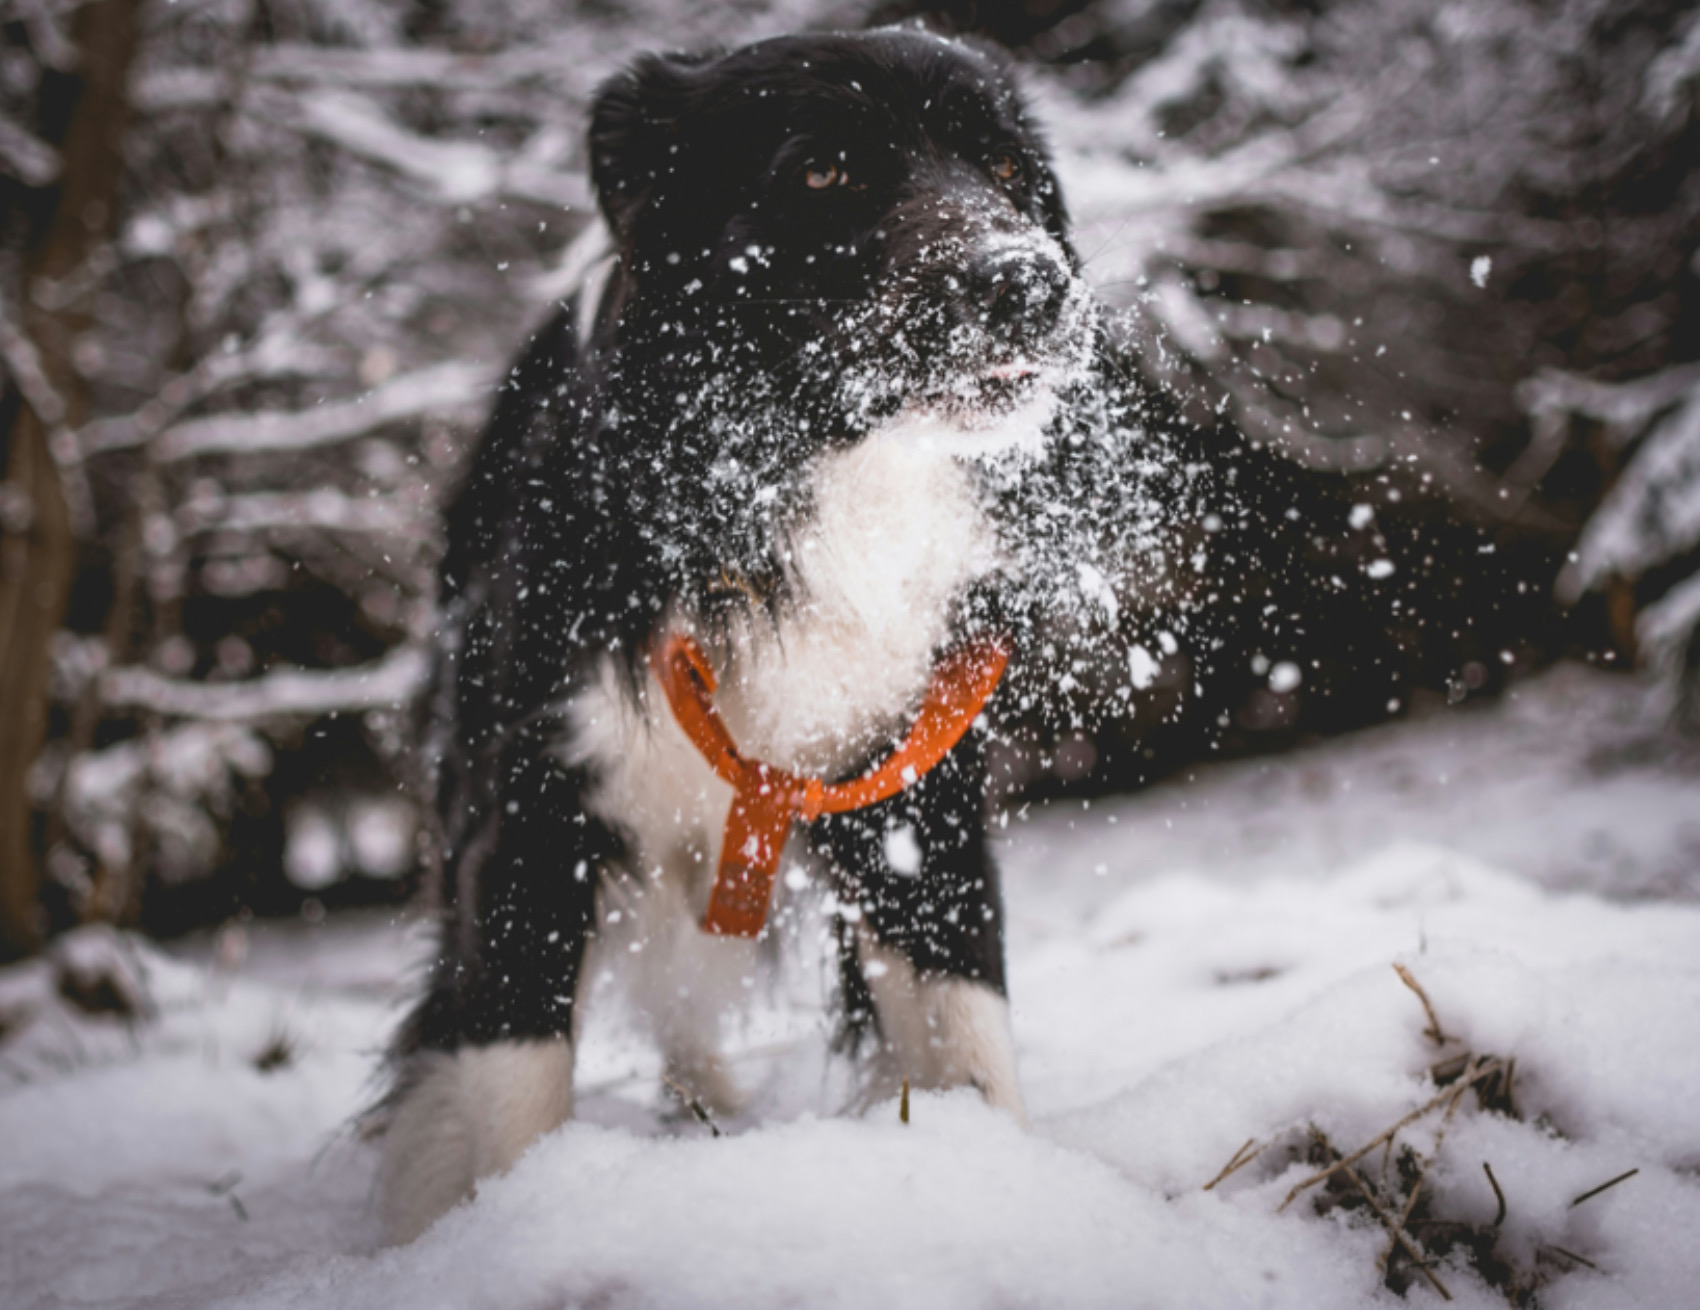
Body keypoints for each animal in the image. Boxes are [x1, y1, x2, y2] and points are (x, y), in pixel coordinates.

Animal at [379, 28, 1108, 1236]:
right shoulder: (525, 803)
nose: (1027, 282)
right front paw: (507, 1229)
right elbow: (515, 1065)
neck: (788, 496)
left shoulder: (913, 785)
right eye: (820, 170)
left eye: (1009, 171)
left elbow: (965, 1012)